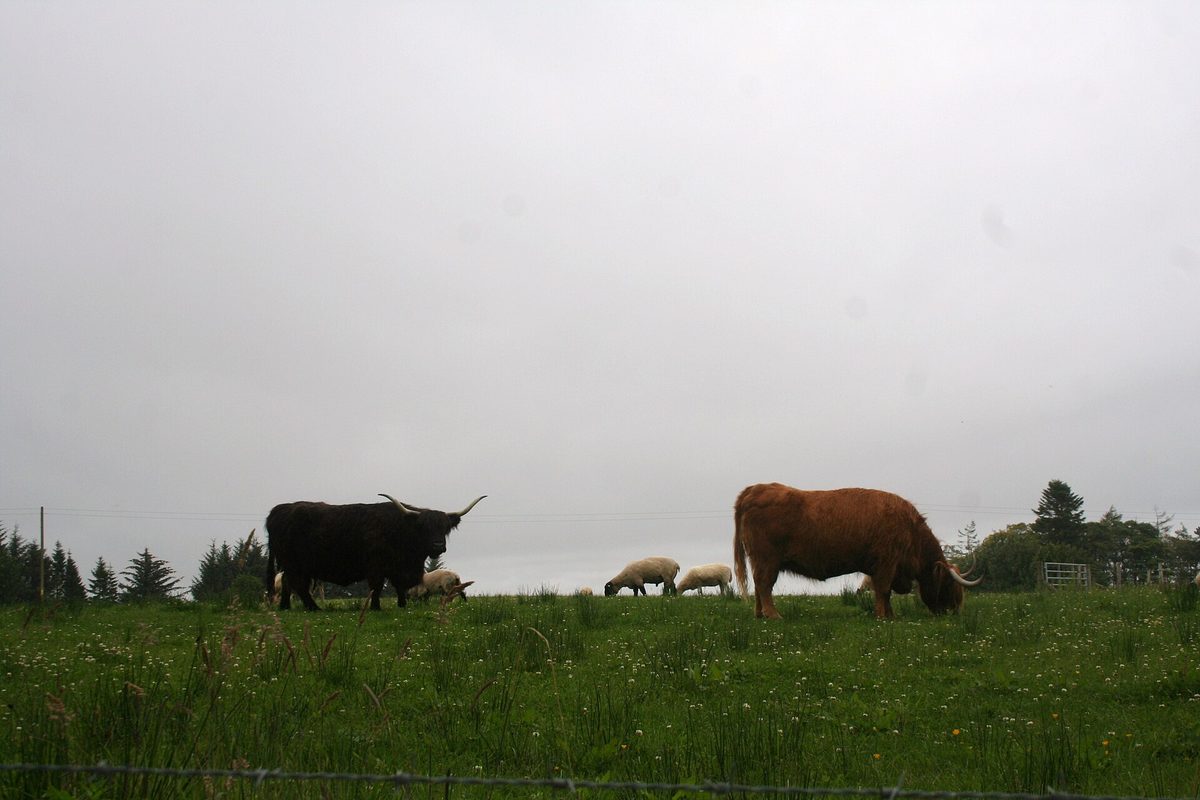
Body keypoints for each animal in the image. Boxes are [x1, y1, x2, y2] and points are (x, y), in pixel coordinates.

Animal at [264, 493, 485, 611]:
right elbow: (376, 587)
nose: (438, 546)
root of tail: (279, 510)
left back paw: (285, 606)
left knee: (288, 583)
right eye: (423, 527)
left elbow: (399, 587)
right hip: (295, 563)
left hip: (292, 565)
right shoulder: (376, 565)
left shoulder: (397, 568)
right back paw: (314, 608)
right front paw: (375, 607)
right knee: (299, 585)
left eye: (444, 528)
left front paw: (402, 605)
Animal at [733, 483, 980, 619]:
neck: (911, 531)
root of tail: (756, 488)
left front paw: (890, 614)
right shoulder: (886, 564)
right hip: (768, 560)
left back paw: (760, 614)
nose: (954, 610)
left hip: (761, 561)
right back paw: (774, 615)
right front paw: (883, 616)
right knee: (764, 585)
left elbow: (884, 593)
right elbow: (883, 591)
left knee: (759, 586)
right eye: (949, 584)